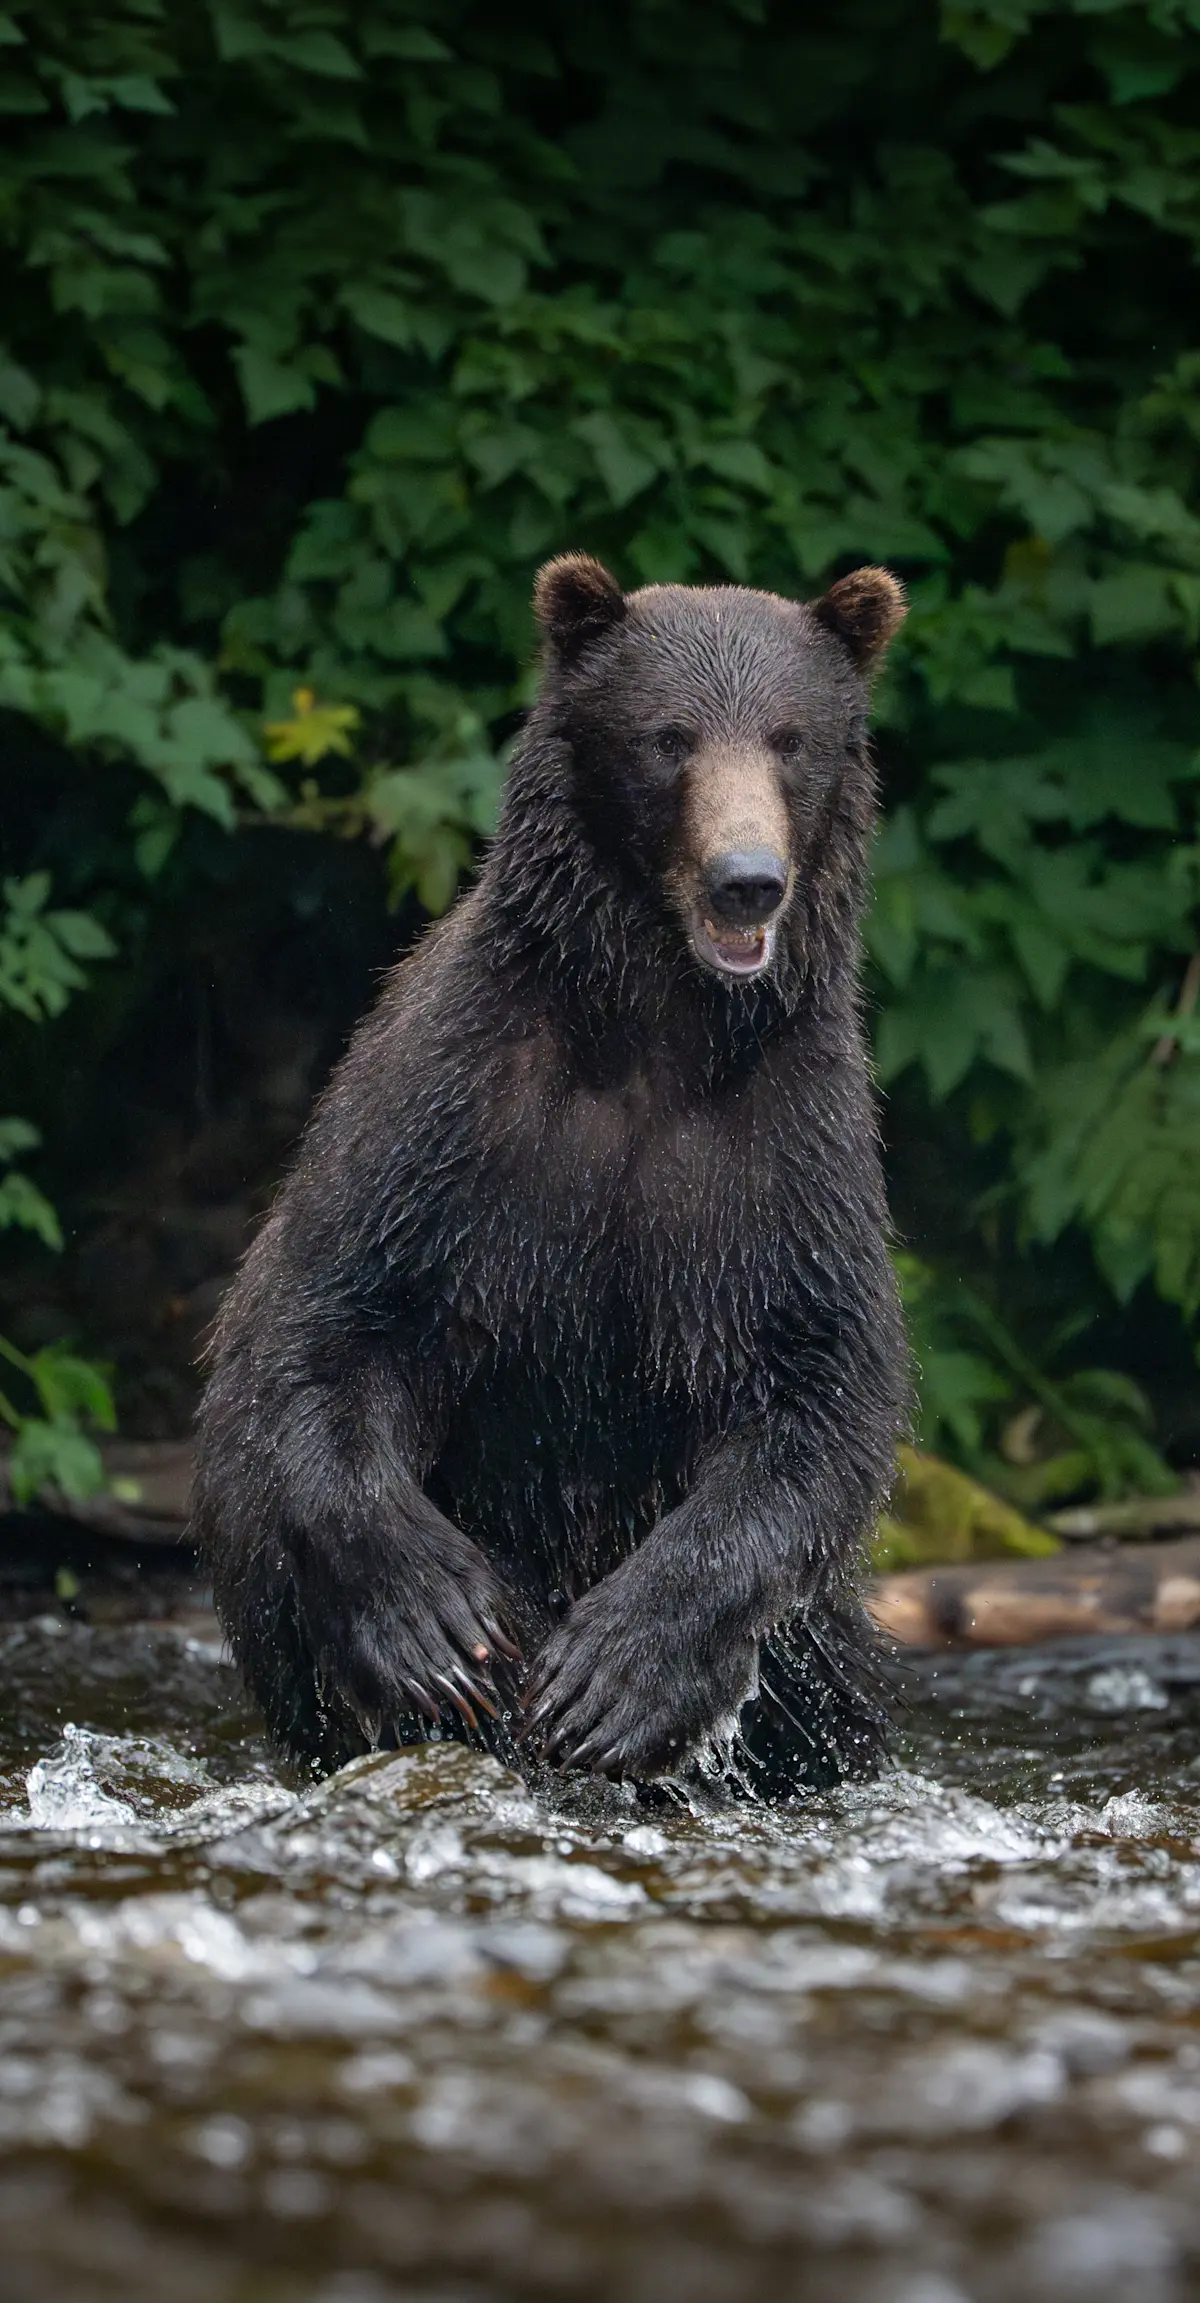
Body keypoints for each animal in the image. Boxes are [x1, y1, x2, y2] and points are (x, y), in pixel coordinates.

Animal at [192, 554, 909, 1794]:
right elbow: (334, 1329)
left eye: (791, 737)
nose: (748, 880)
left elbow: (818, 1394)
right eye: (669, 736)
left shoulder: (787, 1154)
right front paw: (437, 1625)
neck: (656, 1028)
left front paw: (617, 1676)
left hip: (819, 1651)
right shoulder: (454, 1114)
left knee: (821, 1698)